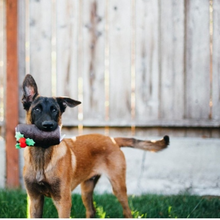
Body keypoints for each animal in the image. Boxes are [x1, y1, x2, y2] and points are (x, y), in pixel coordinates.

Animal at [21, 74, 168, 218]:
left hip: (118, 186)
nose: (48, 125)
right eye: (37, 109)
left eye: (54, 110)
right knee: (91, 211)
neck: (42, 158)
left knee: (127, 211)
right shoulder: (34, 200)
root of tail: (112, 139)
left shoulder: (63, 201)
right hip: (86, 188)